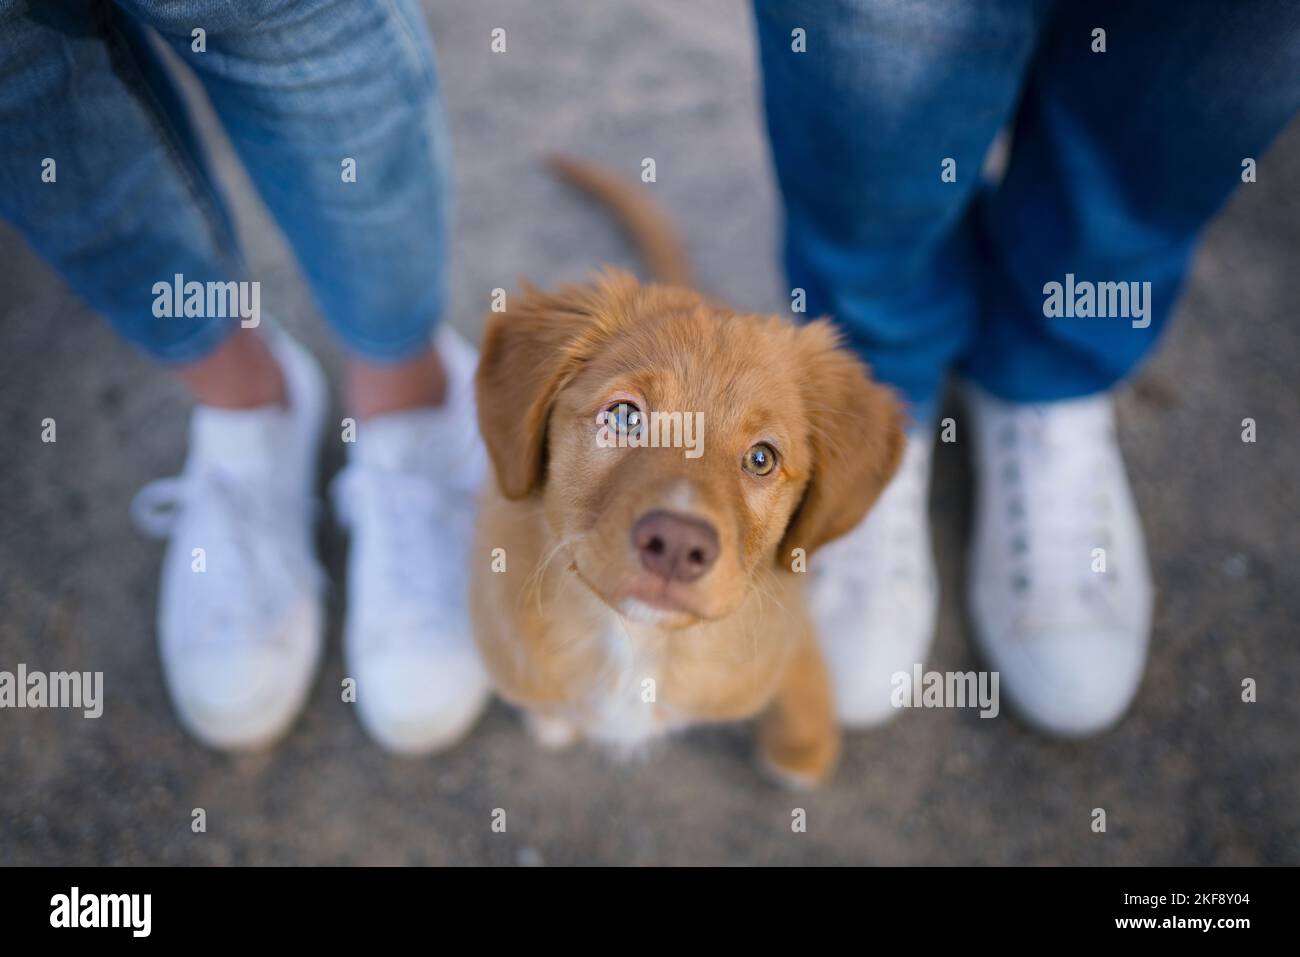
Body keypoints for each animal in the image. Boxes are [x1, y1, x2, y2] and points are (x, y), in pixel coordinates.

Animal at [470, 157, 904, 785]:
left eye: (761, 458)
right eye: (624, 416)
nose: (676, 545)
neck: (637, 644)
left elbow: (801, 673)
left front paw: (802, 749)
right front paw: (552, 720)